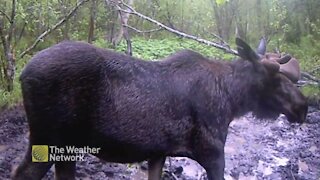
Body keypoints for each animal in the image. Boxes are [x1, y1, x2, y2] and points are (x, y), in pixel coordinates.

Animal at [13, 37, 308, 179]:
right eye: (275, 79)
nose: (303, 107)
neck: (232, 100)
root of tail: (22, 74)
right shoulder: (213, 152)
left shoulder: (158, 153)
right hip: (48, 141)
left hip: (66, 150)